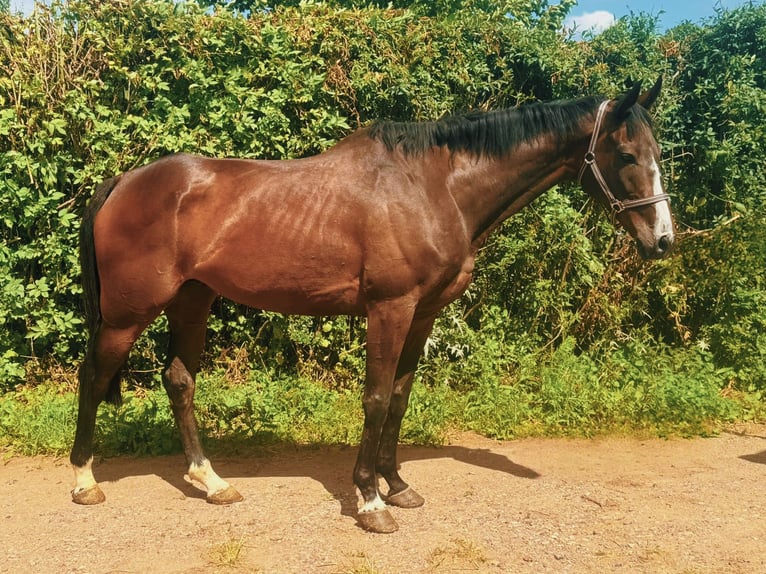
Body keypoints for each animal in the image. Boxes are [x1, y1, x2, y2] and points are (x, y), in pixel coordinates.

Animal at [69, 76, 676, 536]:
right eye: (625, 154)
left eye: (657, 154)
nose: (663, 240)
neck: (436, 186)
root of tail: (124, 180)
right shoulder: (391, 307)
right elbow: (378, 398)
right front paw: (370, 500)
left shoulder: (423, 313)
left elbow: (401, 398)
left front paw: (398, 485)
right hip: (127, 314)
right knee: (93, 375)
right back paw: (85, 481)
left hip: (192, 300)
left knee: (179, 381)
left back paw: (211, 482)